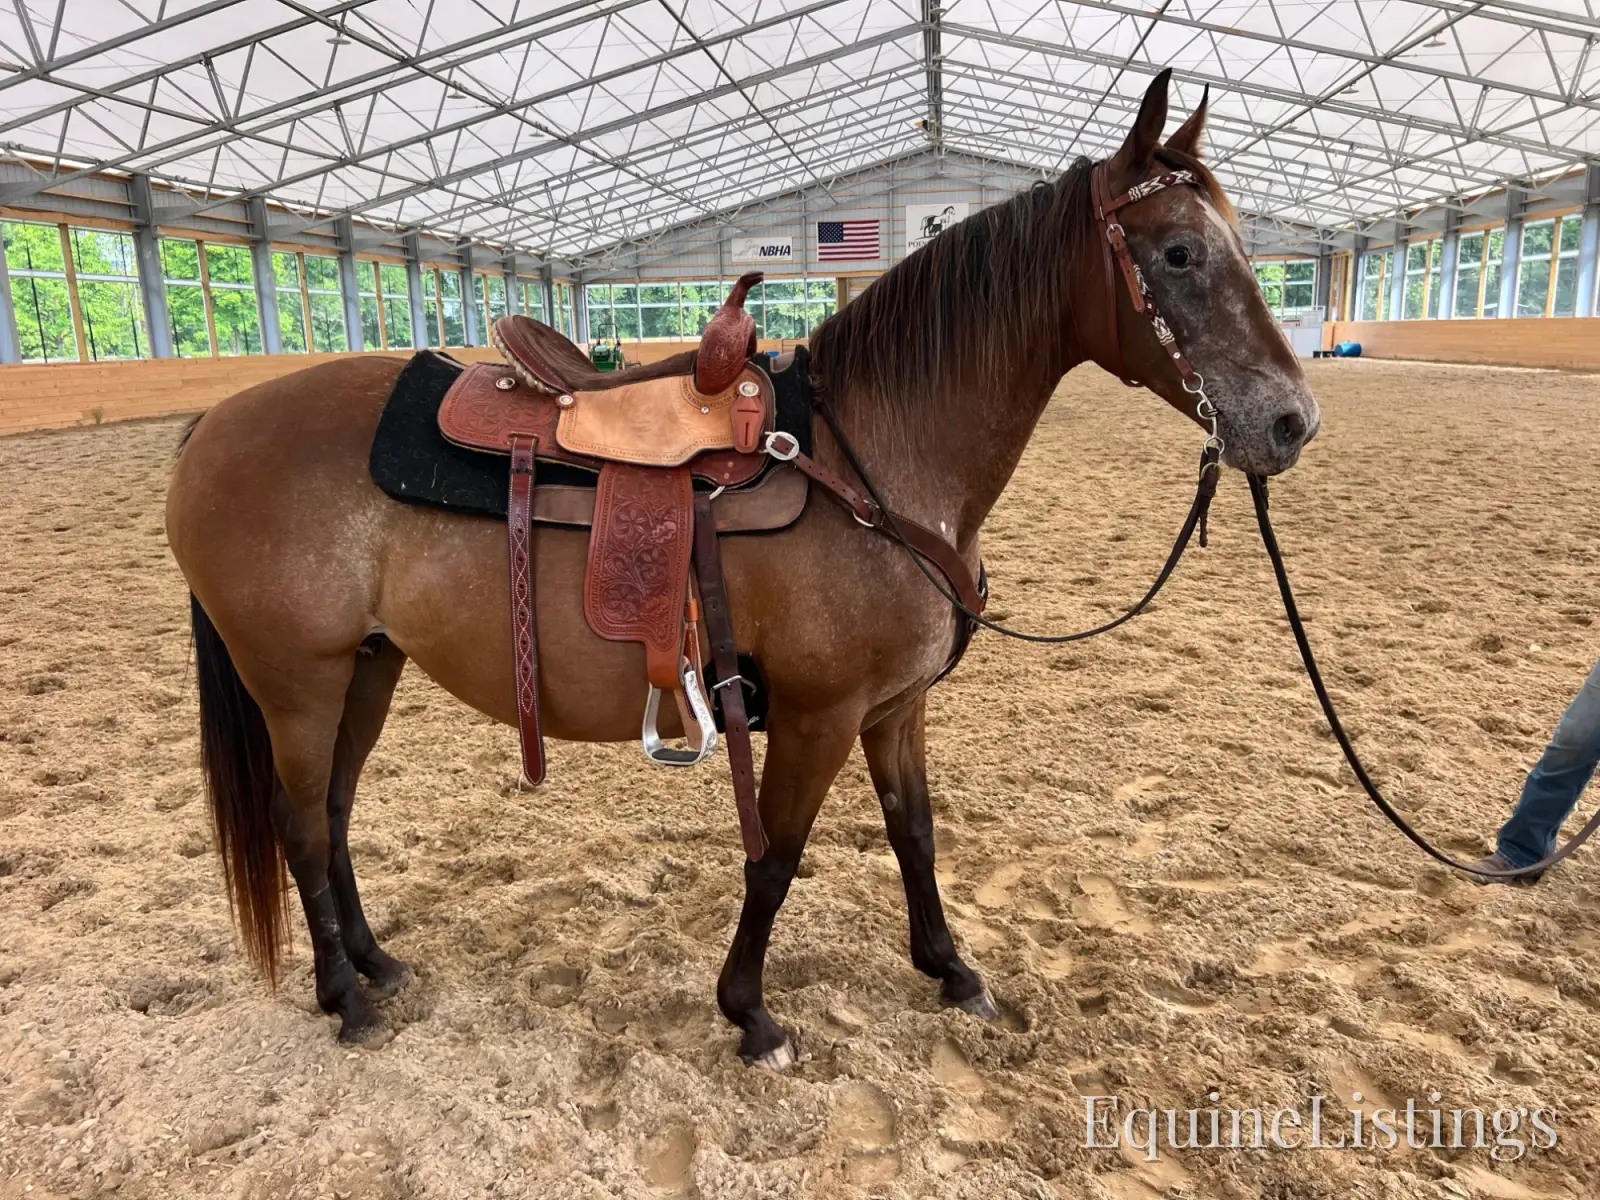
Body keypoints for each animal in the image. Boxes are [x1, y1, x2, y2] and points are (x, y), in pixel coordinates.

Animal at [166, 70, 1319, 1066]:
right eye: (1178, 252)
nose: (1289, 422)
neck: (876, 460)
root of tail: (212, 423)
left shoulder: (895, 710)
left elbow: (915, 835)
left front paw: (950, 970)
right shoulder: (817, 716)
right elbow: (776, 856)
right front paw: (750, 1013)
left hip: (368, 666)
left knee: (333, 815)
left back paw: (374, 964)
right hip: (298, 682)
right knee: (300, 823)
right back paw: (346, 1000)